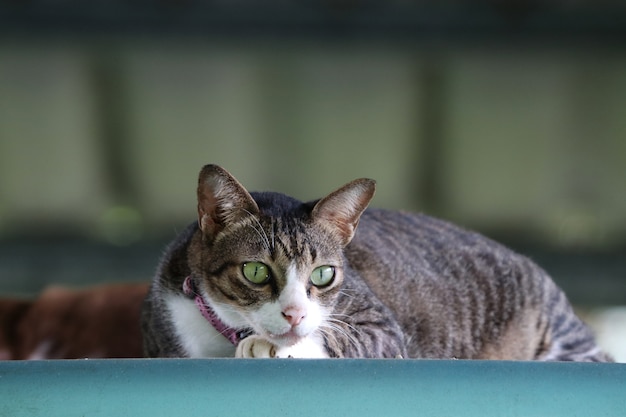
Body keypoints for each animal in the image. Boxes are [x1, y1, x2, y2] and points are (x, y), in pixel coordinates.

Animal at [140, 164, 608, 360]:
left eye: (323, 274)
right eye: (256, 271)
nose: (294, 314)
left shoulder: (382, 327)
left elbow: (345, 339)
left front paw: (270, 346)